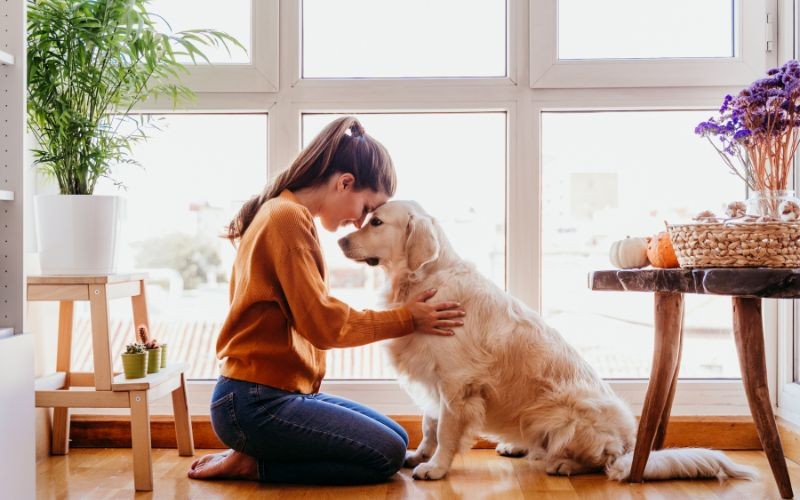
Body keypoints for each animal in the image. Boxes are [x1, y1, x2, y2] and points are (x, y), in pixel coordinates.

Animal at [336, 201, 756, 482]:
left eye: (376, 222)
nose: (339, 241)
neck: (423, 279)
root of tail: (629, 445)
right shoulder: (434, 377)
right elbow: (429, 423)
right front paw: (418, 454)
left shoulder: (456, 383)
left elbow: (447, 431)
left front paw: (435, 467)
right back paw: (517, 445)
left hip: (565, 414)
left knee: (599, 462)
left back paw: (563, 463)